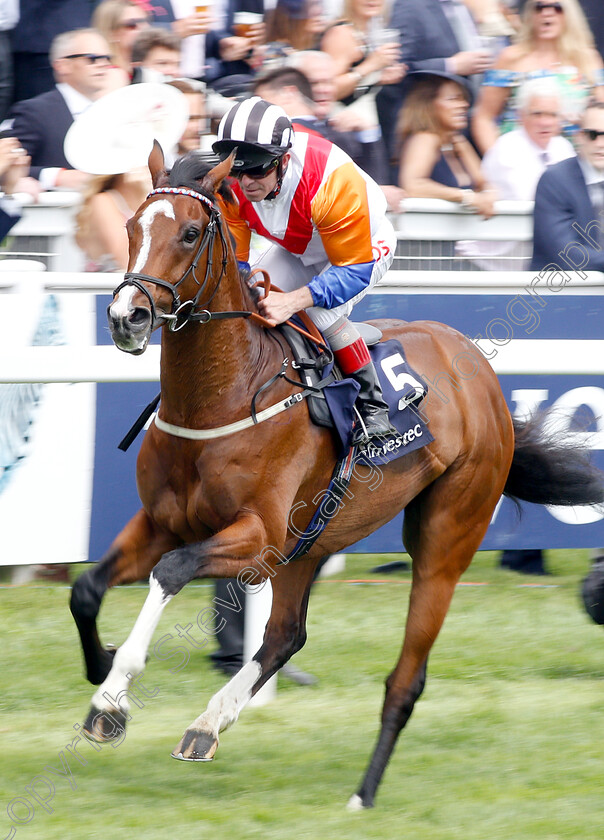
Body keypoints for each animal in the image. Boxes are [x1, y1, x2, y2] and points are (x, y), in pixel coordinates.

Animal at [71, 143, 604, 808]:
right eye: (130, 227)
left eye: (191, 233)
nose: (127, 316)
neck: (222, 396)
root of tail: (478, 369)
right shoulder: (163, 522)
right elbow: (86, 589)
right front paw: (102, 667)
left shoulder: (258, 537)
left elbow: (170, 572)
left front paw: (112, 700)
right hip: (314, 537)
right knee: (283, 635)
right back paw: (206, 725)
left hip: (445, 537)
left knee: (406, 676)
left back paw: (362, 793)